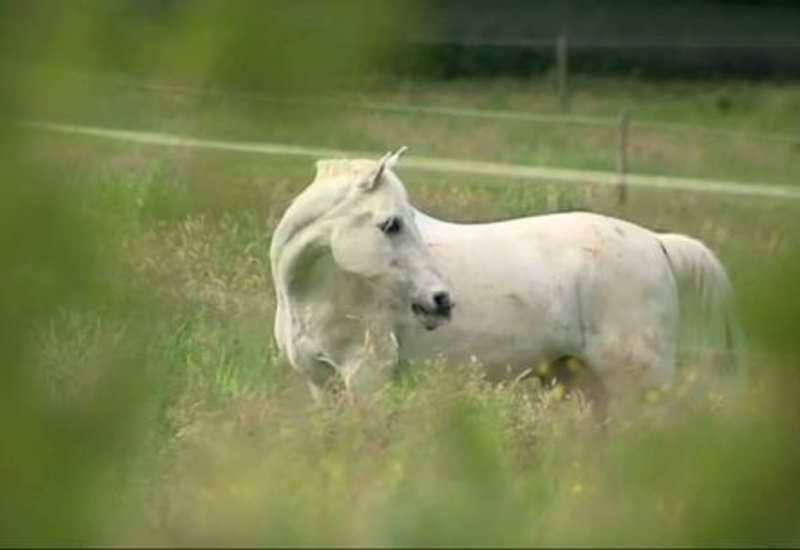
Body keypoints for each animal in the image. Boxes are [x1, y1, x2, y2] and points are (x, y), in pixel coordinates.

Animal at [272, 147, 748, 406]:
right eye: (391, 224)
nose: (440, 300)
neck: (311, 291)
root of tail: (656, 242)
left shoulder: (366, 376)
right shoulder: (321, 383)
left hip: (636, 383)